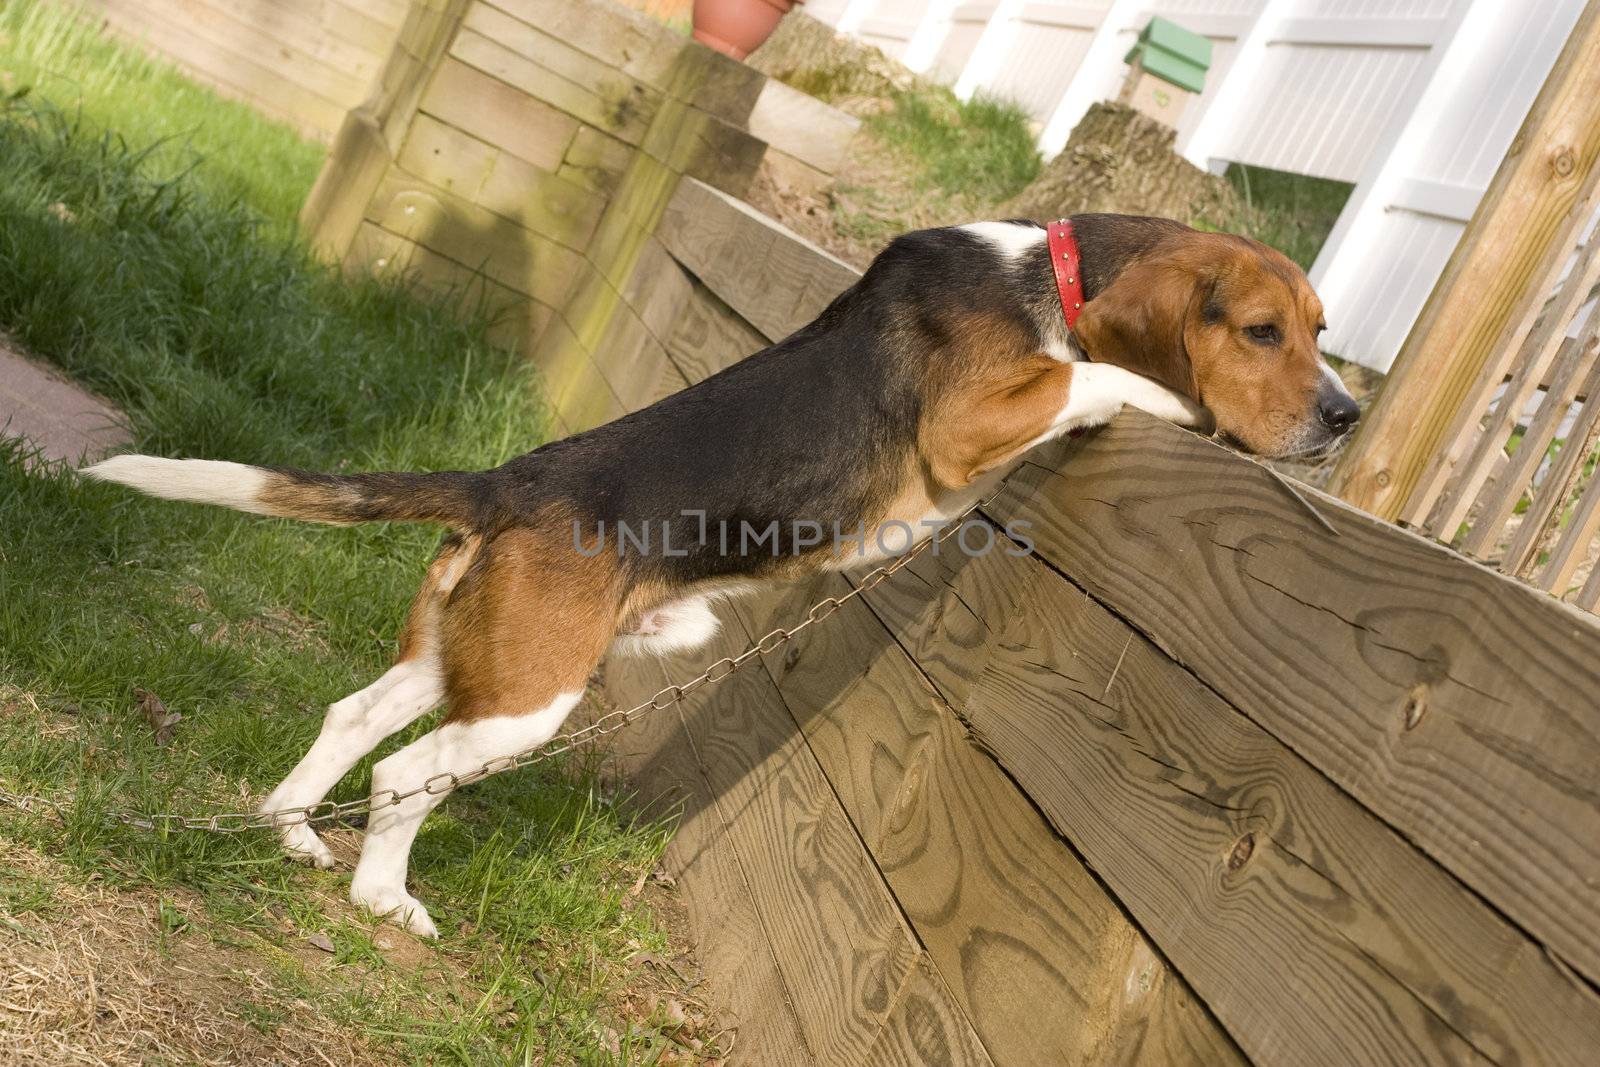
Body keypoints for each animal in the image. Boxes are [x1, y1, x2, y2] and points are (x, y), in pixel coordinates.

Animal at [87, 211, 1356, 934]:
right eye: (1258, 332)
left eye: (1322, 329)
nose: (1345, 417)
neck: (1047, 267)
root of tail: (506, 480)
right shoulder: (972, 424)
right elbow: (1100, 379)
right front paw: (1166, 403)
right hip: (530, 698)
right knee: (408, 774)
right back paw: (384, 897)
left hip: (468, 656)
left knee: (356, 715)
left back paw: (292, 830)